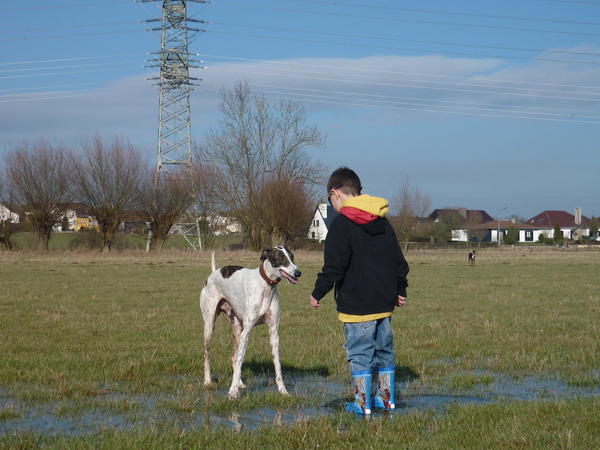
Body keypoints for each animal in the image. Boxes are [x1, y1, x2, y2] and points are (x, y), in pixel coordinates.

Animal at [200, 248, 302, 400]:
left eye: (292, 257)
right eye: (281, 258)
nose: (298, 273)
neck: (266, 286)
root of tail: (214, 272)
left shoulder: (274, 333)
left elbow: (277, 365)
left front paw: (283, 390)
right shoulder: (246, 332)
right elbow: (240, 362)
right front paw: (232, 392)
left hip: (237, 329)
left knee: (234, 357)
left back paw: (240, 383)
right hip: (210, 326)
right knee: (208, 355)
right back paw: (208, 381)